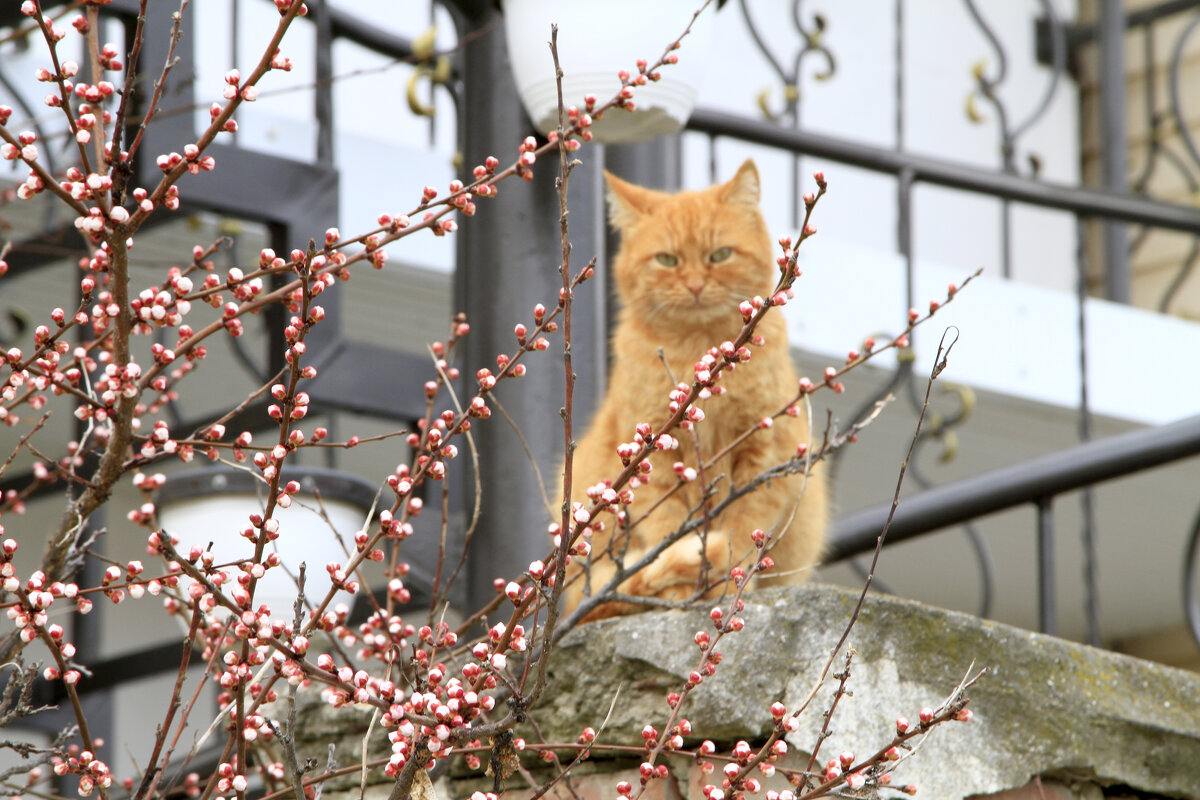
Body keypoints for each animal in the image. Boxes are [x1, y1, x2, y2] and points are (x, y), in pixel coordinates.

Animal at [561, 158, 825, 618]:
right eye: (667, 260)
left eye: (719, 255)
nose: (696, 285)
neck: (696, 349)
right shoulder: (658, 461)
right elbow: (671, 529)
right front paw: (688, 583)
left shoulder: (762, 454)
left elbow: (742, 528)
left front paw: (726, 580)